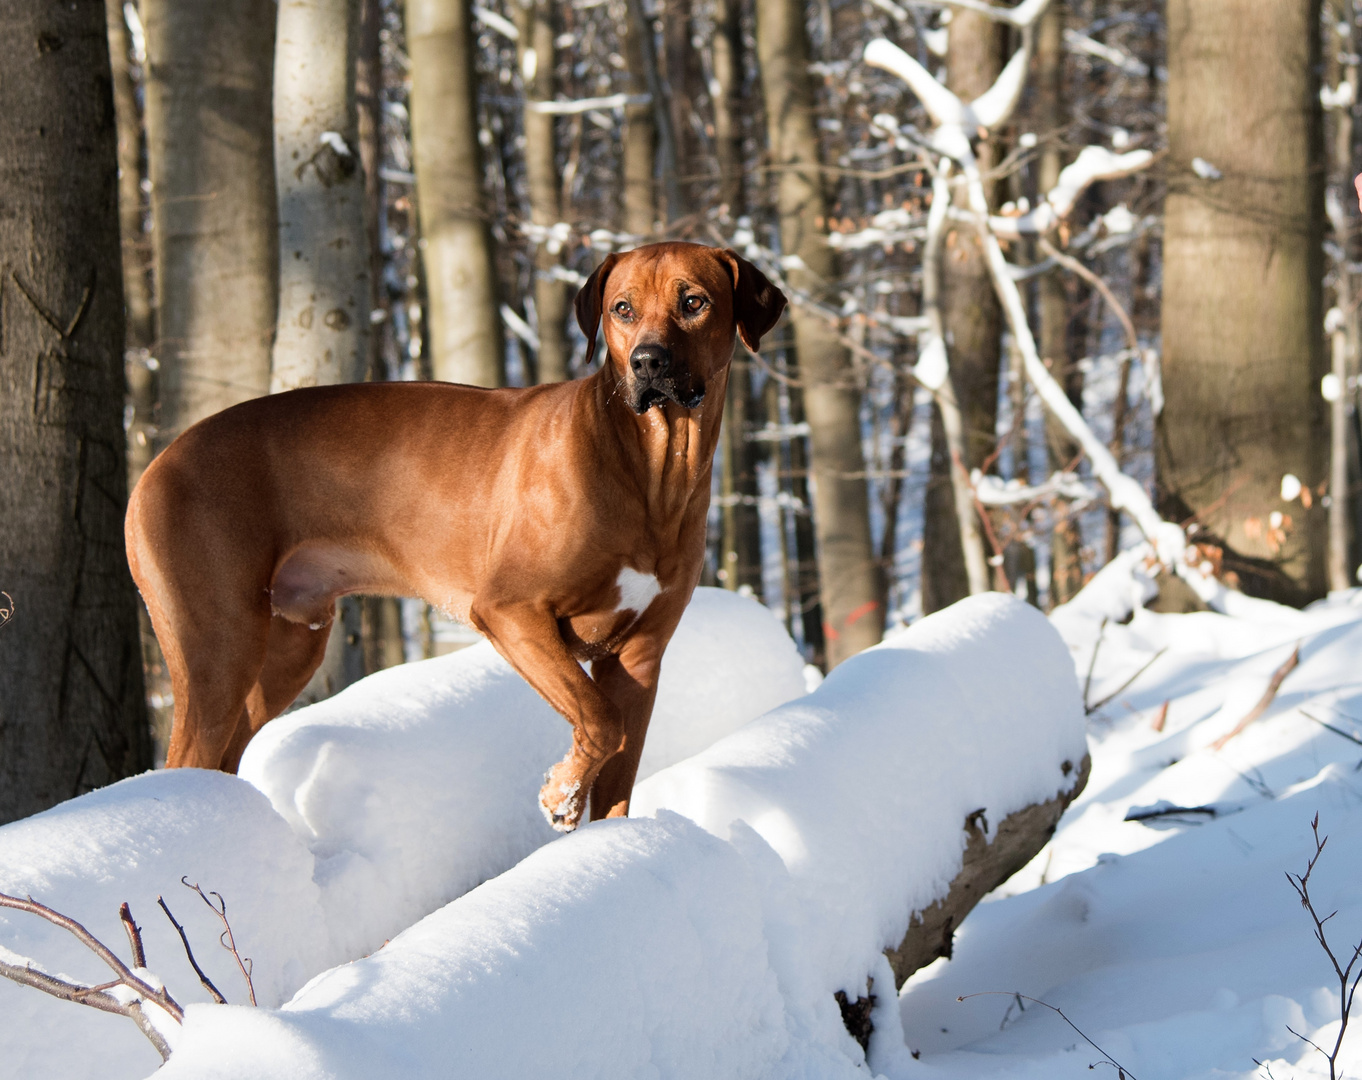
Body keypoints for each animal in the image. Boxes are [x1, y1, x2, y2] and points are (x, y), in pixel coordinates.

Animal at [130, 243, 789, 828]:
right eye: (622, 309)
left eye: (694, 301)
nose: (648, 362)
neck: (648, 468)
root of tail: (157, 463)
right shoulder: (509, 611)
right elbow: (601, 721)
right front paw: (560, 795)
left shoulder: (641, 654)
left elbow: (619, 767)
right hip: (219, 643)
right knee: (186, 755)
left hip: (289, 647)